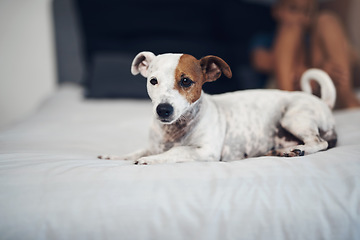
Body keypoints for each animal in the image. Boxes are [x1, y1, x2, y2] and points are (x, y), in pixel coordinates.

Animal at [97, 51, 336, 165]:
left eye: (186, 81)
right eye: (153, 81)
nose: (163, 110)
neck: (175, 130)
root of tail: (323, 101)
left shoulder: (205, 150)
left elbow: (177, 151)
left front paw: (152, 160)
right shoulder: (154, 145)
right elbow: (137, 151)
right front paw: (115, 157)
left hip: (294, 118)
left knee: (320, 142)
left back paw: (297, 150)